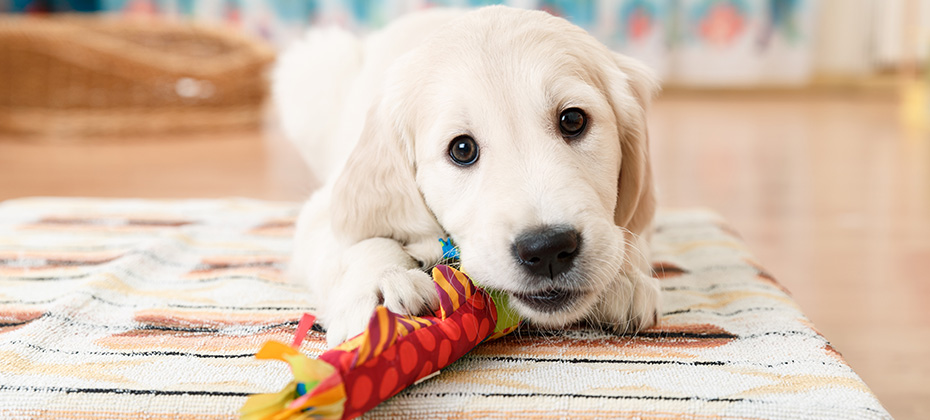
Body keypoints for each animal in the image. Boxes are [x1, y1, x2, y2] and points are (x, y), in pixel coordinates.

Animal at [276, 7, 660, 348]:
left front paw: (625, 277)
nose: (547, 248)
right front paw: (382, 285)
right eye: (462, 149)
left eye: (573, 120)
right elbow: (361, 239)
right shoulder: (322, 210)